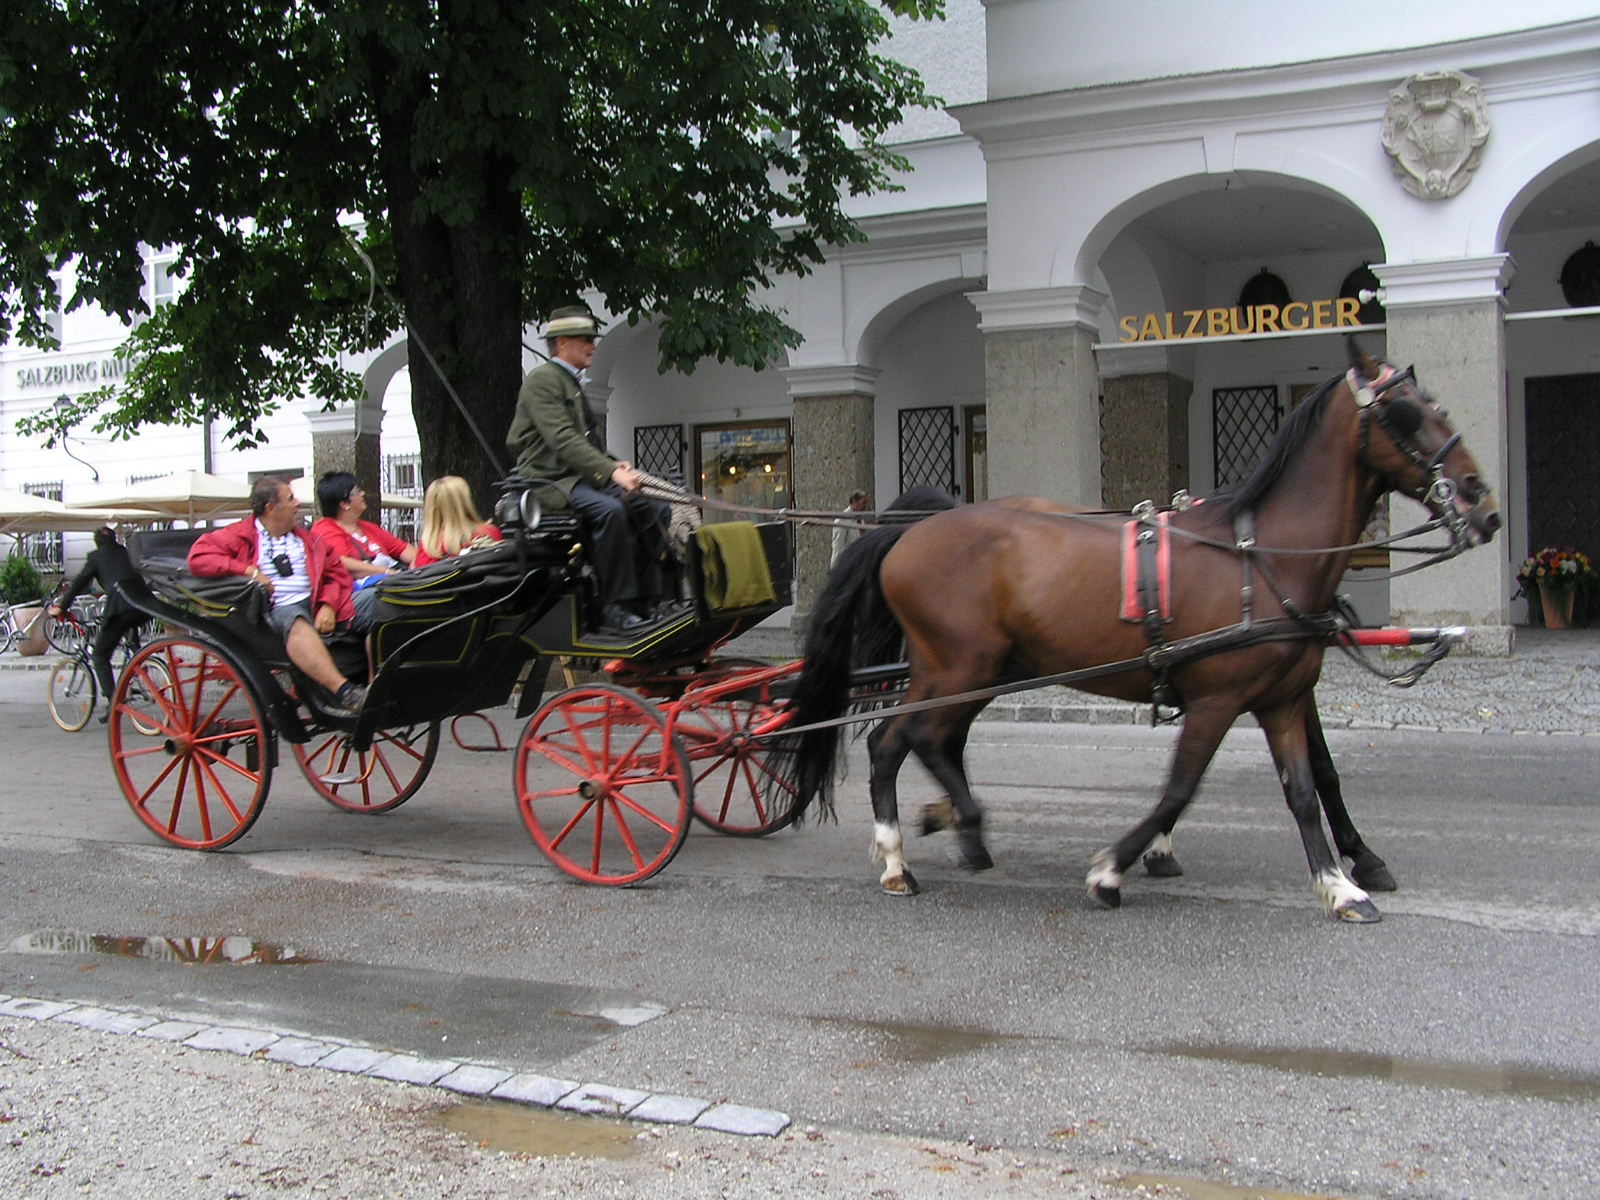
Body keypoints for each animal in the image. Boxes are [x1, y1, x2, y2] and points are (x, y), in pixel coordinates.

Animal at [774, 342, 1497, 928]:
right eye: (1406, 413)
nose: (1480, 500)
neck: (1260, 555)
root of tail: (912, 532)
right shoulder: (1217, 700)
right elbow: (1181, 787)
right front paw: (1112, 868)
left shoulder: (1284, 698)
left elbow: (1306, 786)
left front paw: (1342, 883)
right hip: (960, 668)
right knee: (914, 738)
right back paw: (944, 835)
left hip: (965, 671)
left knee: (904, 742)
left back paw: (921, 842)